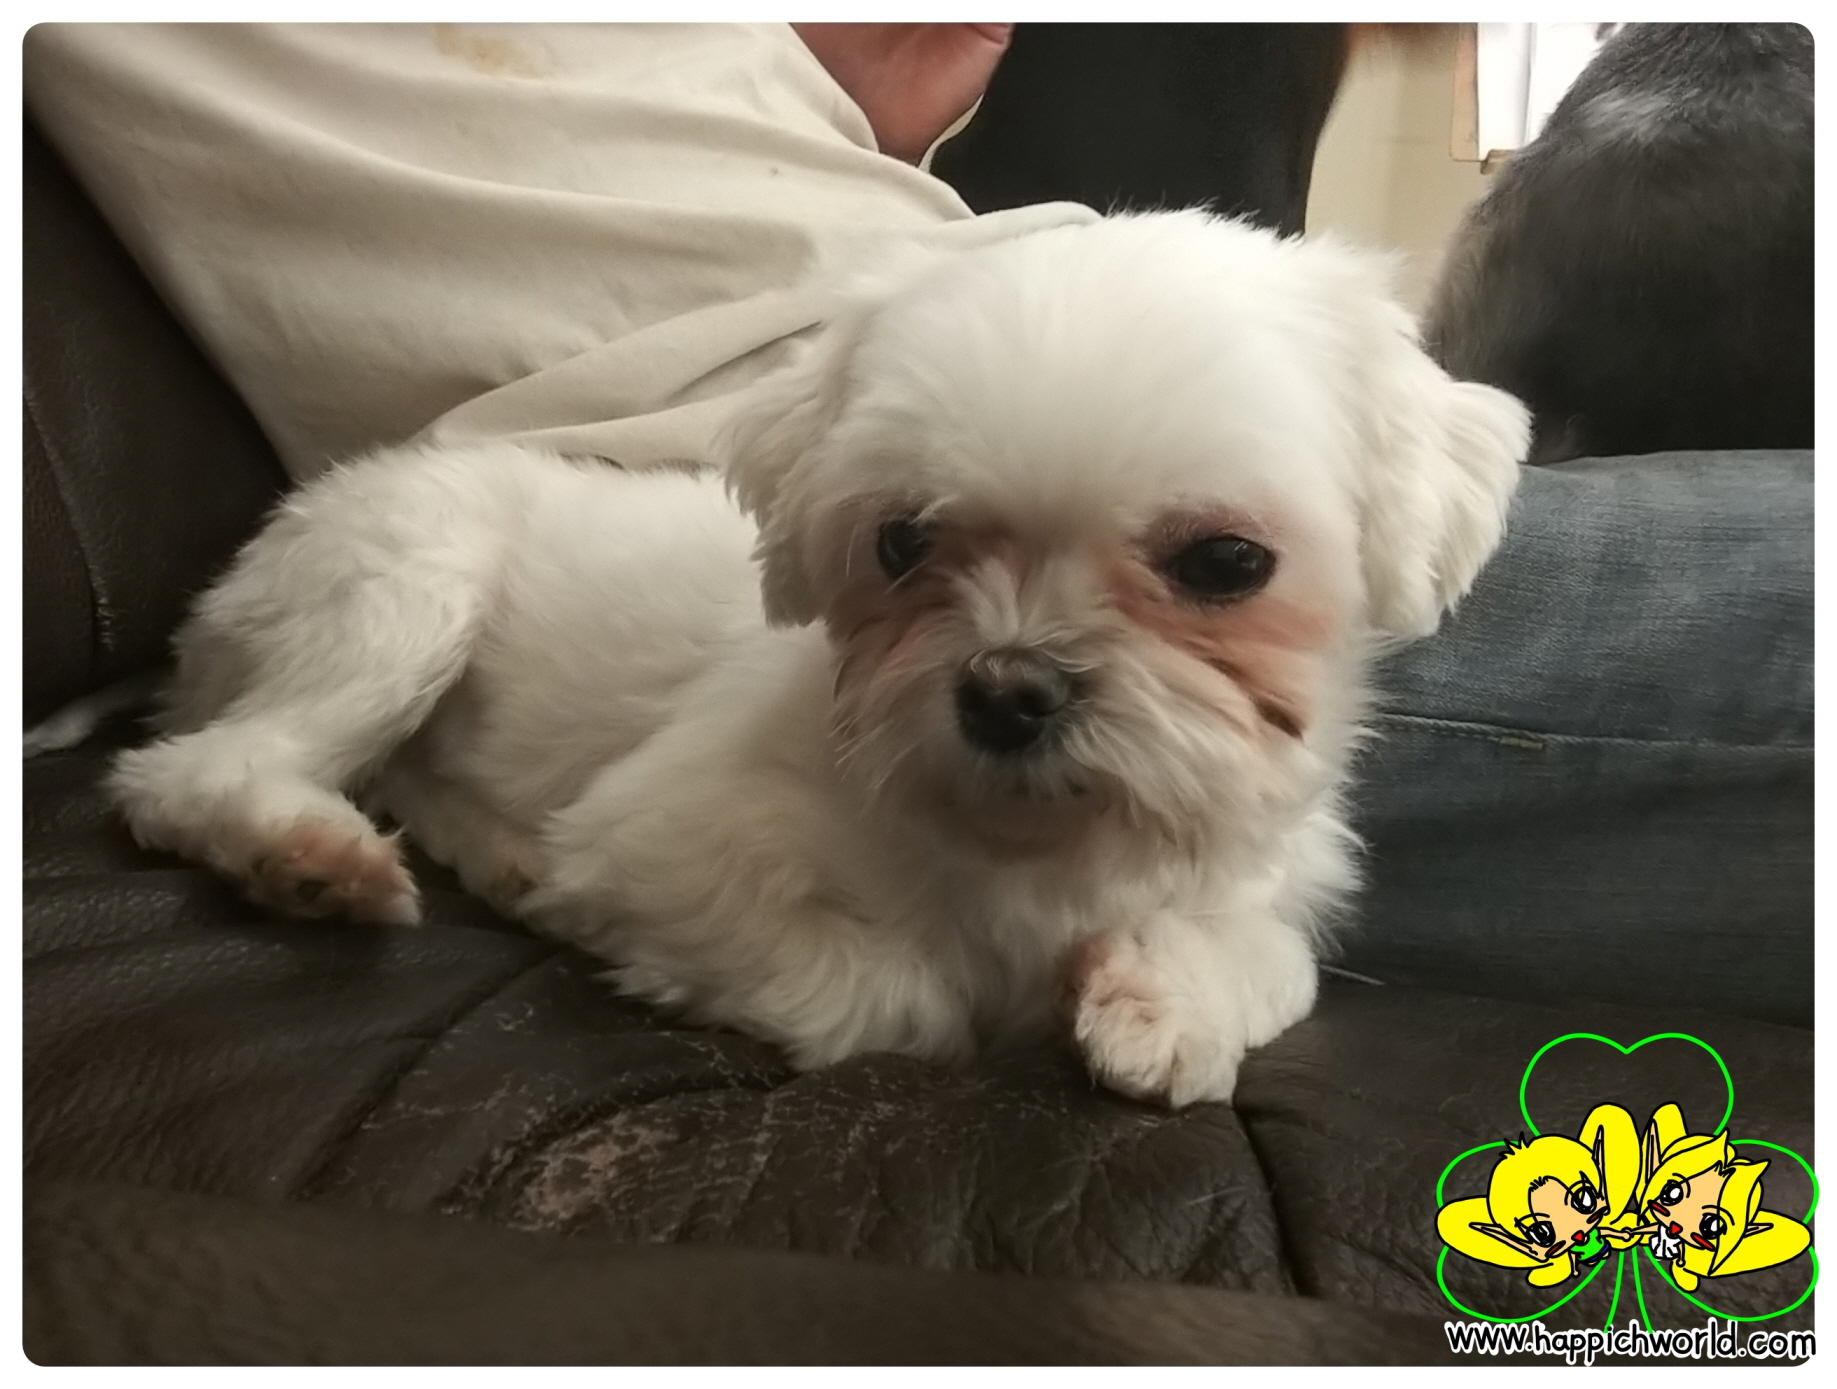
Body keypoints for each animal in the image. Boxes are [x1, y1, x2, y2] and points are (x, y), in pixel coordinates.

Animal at [110, 211, 1529, 1106]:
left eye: (1227, 563)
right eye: (901, 542)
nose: (1007, 690)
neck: (1040, 848)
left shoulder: (1266, 882)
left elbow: (1266, 957)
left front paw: (1162, 1003)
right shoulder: (661, 844)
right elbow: (906, 997)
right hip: (404, 586)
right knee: (196, 771)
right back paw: (307, 855)